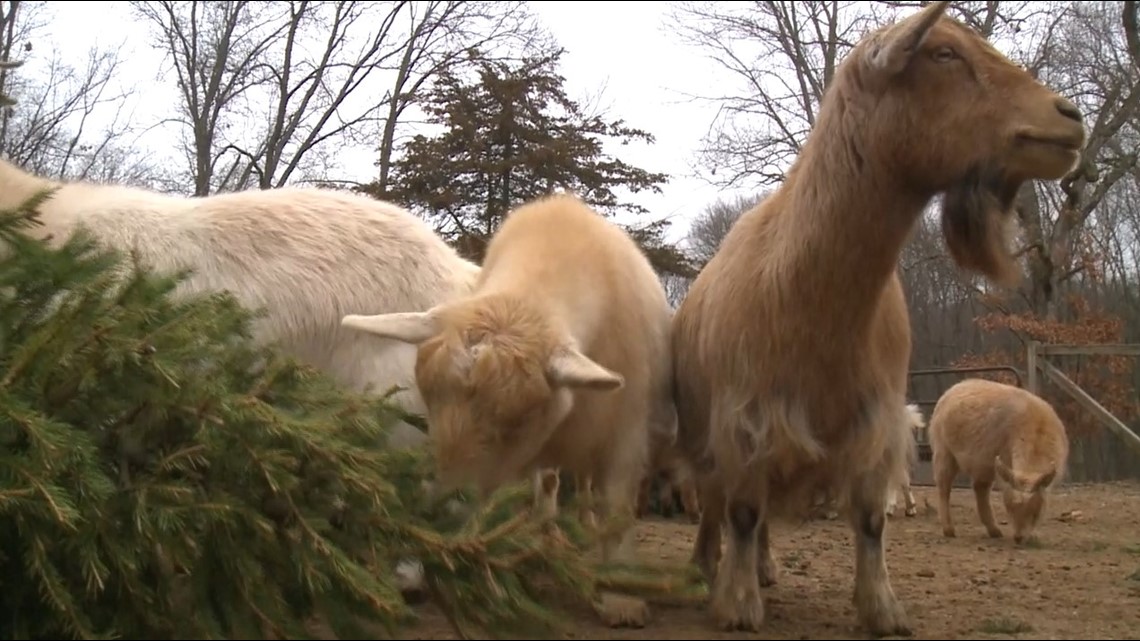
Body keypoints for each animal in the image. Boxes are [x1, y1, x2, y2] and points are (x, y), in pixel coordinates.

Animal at [340, 192, 675, 628]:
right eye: (430, 402)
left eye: (517, 420)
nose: (438, 514)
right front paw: (488, 576)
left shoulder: (625, 435)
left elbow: (617, 510)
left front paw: (621, 595)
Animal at [929, 378, 1069, 544]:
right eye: (1009, 508)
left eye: (1036, 510)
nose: (1018, 538)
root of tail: (951, 390)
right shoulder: (1005, 459)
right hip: (942, 449)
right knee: (944, 485)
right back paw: (949, 531)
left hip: (982, 464)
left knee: (979, 488)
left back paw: (995, 532)